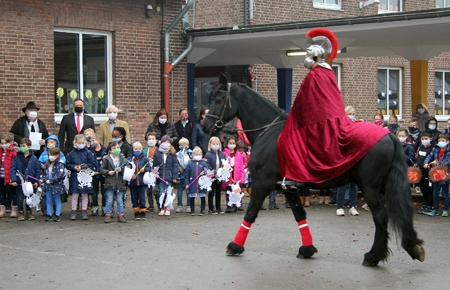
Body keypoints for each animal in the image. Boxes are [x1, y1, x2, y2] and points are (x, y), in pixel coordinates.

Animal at [204, 73, 426, 266]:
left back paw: (373, 256)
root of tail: (388, 135)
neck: (269, 131)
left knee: (380, 217)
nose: (206, 125)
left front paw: (235, 246)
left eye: (219, 98)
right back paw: (410, 247)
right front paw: (307, 249)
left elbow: (250, 214)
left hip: (370, 188)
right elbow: (299, 214)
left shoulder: (262, 184)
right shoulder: (287, 187)